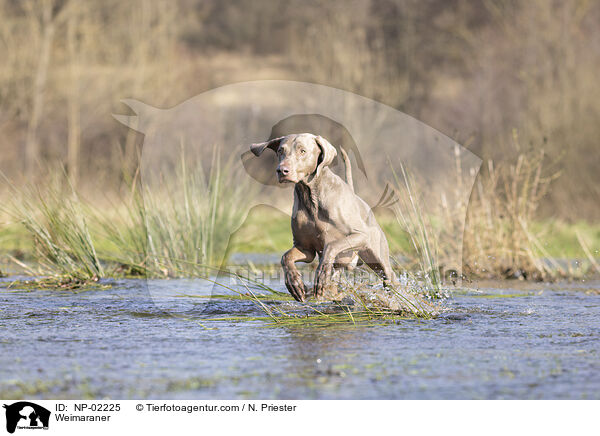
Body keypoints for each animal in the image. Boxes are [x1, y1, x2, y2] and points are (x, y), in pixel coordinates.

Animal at [251, 133, 396, 302]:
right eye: (281, 150)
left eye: (302, 151)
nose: (282, 170)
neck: (311, 197)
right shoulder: (305, 248)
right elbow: (286, 257)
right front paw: (295, 283)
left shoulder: (360, 236)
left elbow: (332, 246)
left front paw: (321, 274)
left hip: (376, 257)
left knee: (389, 275)